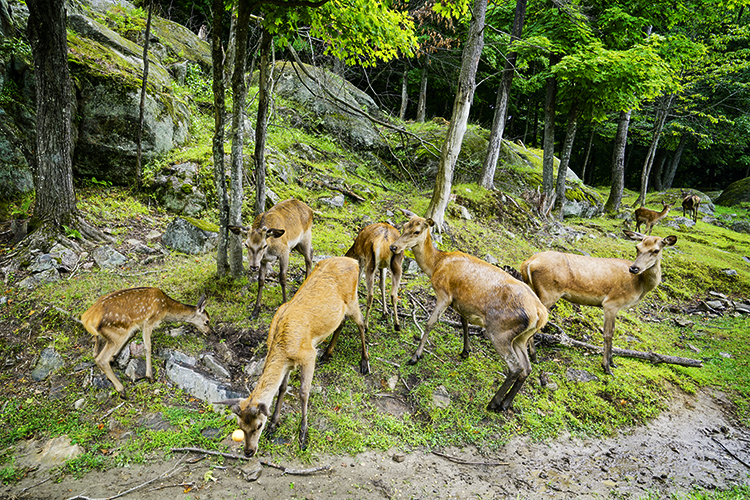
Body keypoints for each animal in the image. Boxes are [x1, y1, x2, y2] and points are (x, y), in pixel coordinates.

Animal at [81, 290, 210, 398]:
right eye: (207, 321)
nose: (209, 332)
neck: (165, 308)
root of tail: (87, 318)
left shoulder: (136, 325)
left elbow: (131, 337)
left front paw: (114, 358)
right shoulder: (149, 321)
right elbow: (148, 347)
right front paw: (150, 376)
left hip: (102, 335)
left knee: (95, 354)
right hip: (117, 332)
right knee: (101, 359)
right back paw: (122, 390)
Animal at [214, 258, 370, 458]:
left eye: (258, 425)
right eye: (240, 425)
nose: (248, 452)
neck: (282, 347)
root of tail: (354, 261)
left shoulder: (308, 354)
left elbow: (303, 392)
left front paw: (303, 436)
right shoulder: (287, 364)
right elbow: (282, 388)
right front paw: (274, 424)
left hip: (353, 300)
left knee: (362, 324)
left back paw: (364, 362)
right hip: (341, 309)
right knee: (341, 322)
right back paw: (328, 353)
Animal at [390, 213, 548, 412]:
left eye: (416, 231)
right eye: (404, 226)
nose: (393, 246)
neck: (436, 264)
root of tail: (541, 314)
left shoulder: (444, 294)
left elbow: (430, 323)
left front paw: (415, 356)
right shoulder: (460, 302)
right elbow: (464, 322)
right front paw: (465, 351)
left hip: (499, 331)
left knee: (516, 367)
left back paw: (493, 403)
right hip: (522, 337)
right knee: (527, 367)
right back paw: (506, 403)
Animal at [524, 230, 680, 376]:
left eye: (656, 250)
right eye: (637, 247)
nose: (634, 268)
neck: (640, 286)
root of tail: (528, 263)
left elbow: (613, 331)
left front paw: (613, 363)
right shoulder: (611, 303)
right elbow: (608, 333)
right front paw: (606, 367)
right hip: (549, 293)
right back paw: (534, 356)